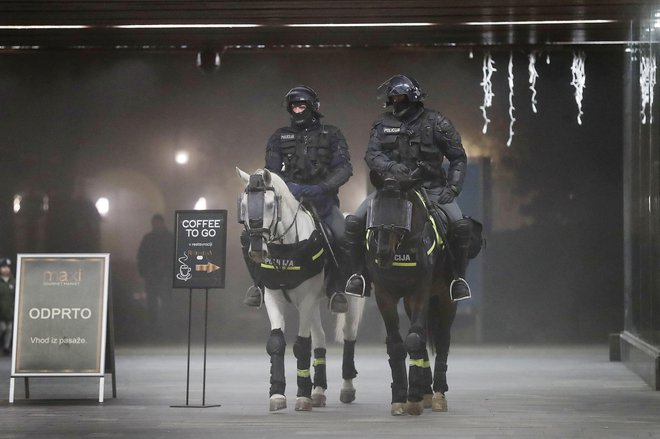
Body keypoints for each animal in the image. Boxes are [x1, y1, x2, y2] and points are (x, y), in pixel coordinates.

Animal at [236, 168, 366, 412]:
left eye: (271, 204)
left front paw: (303, 396)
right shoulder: (274, 298)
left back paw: (346, 388)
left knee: (349, 335)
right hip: (313, 304)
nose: (257, 249)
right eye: (245, 205)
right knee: (321, 337)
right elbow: (276, 343)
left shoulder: (306, 300)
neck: (287, 246)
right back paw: (319, 391)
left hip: (348, 301)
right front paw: (278, 394)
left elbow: (301, 346)